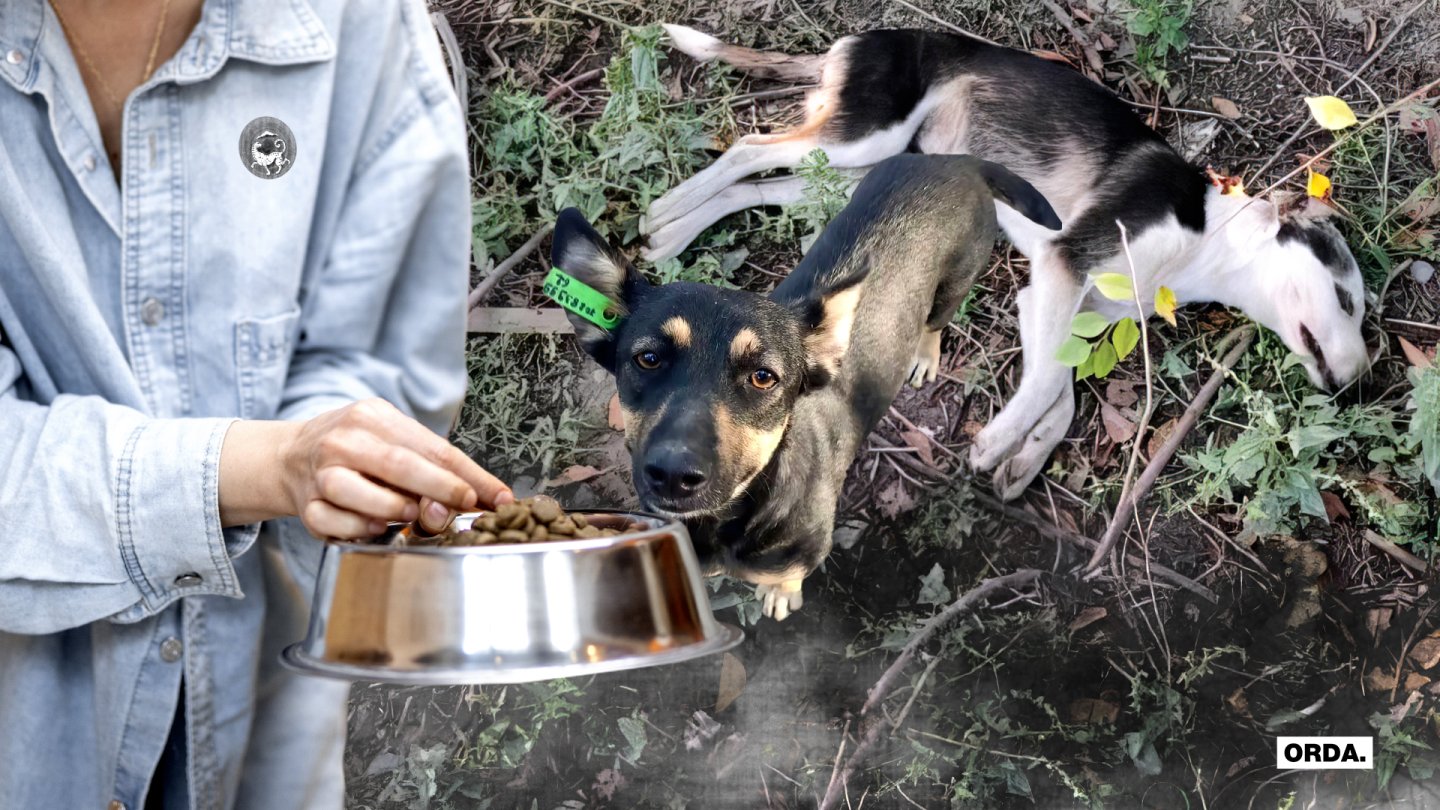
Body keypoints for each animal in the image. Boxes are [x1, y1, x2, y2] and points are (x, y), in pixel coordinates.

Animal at [645, 25, 1370, 498]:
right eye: (1347, 299)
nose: (1358, 387)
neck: (1206, 236)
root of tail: (850, 42)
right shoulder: (1064, 261)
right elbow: (1049, 383)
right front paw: (1000, 441)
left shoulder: (1057, 297)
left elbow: (1060, 385)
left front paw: (1028, 455)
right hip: (863, 136)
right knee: (747, 146)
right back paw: (663, 212)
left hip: (856, 173)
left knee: (754, 186)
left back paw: (670, 234)